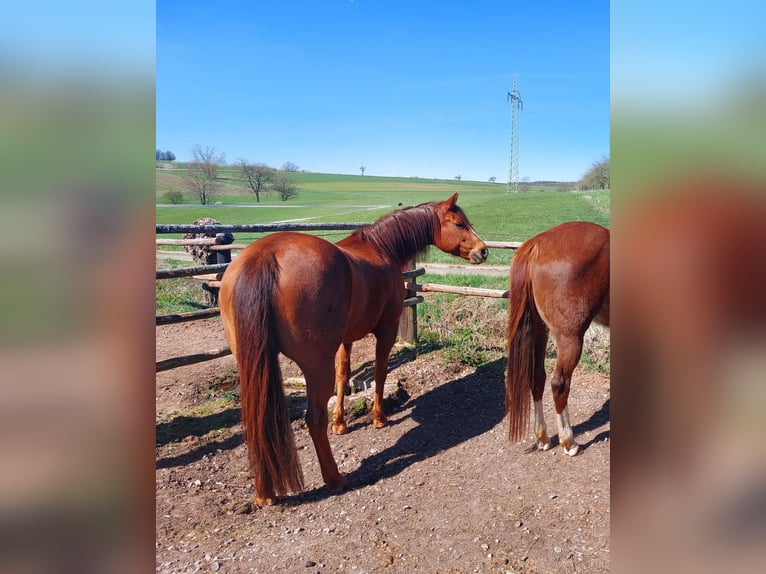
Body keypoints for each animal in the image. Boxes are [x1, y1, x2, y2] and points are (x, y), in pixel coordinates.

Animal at [219, 193, 488, 505]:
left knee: (257, 421)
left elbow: (344, 375)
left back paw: (265, 494)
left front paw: (341, 424)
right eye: (459, 223)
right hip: (314, 365)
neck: (382, 248)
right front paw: (379, 417)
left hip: (252, 365)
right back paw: (334, 478)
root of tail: (265, 256)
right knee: (313, 419)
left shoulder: (344, 340)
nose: (483, 251)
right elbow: (380, 373)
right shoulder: (386, 331)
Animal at [505, 221, 609, 456]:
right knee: (559, 383)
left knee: (537, 378)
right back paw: (568, 442)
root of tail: (537, 244)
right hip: (570, 338)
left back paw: (543, 438)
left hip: (540, 330)